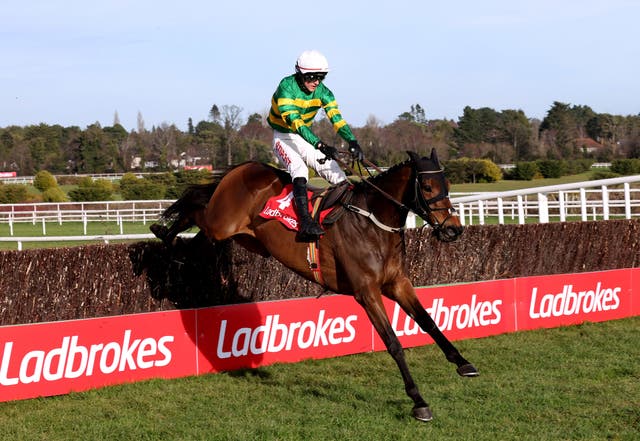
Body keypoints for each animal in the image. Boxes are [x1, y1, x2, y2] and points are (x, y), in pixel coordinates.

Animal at [152, 150, 478, 422]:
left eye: (447, 184)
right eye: (427, 188)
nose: (453, 229)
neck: (373, 223)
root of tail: (245, 167)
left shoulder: (397, 283)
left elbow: (429, 322)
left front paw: (463, 363)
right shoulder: (367, 291)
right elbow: (394, 343)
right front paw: (418, 401)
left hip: (245, 237)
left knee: (199, 228)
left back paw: (177, 246)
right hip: (223, 223)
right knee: (196, 205)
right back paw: (162, 232)